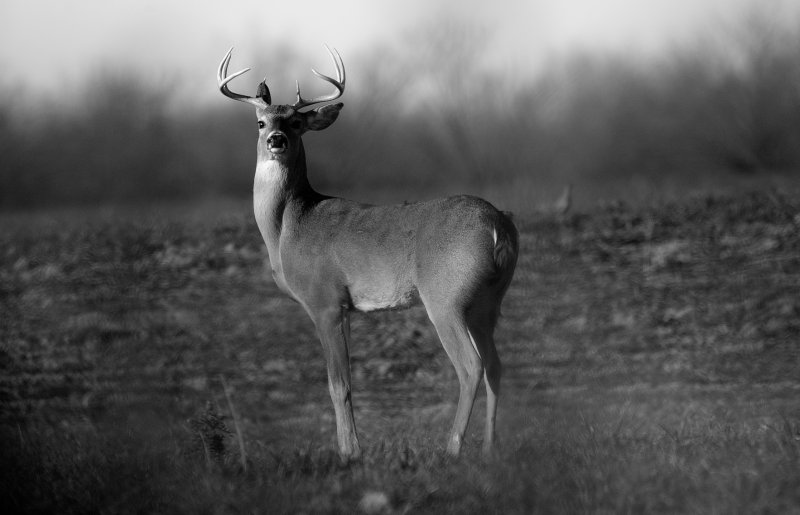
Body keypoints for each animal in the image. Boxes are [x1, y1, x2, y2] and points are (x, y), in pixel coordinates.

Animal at [217, 46, 520, 462]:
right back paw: (490, 447)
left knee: (470, 365)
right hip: (487, 302)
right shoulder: (346, 308)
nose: (276, 140)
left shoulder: (325, 301)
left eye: (295, 122)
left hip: (446, 297)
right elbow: (345, 383)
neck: (288, 227)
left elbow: (338, 384)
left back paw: (452, 447)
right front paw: (350, 447)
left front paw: (350, 453)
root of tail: (498, 225)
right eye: (260, 122)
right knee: (495, 365)